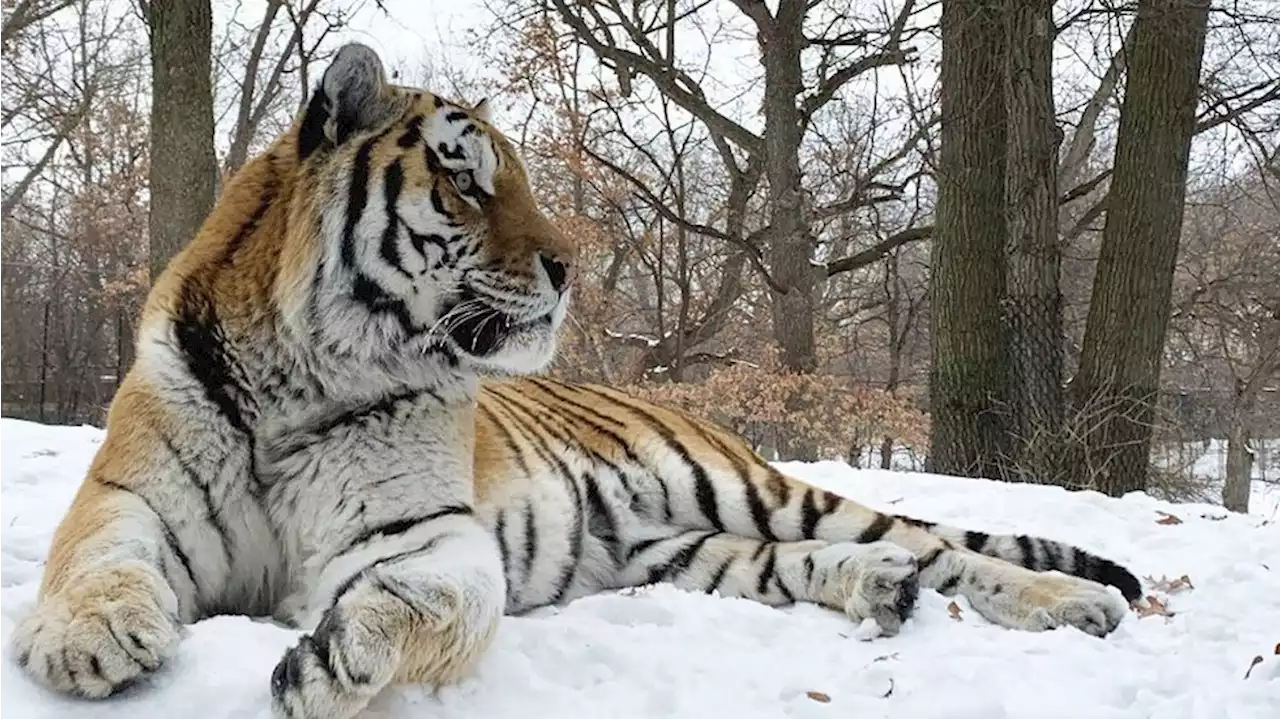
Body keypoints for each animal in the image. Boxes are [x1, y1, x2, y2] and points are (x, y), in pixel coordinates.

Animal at [5, 43, 1136, 716]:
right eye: (465, 180)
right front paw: (90, 639)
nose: (567, 266)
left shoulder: (425, 534)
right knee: (819, 561)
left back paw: (1074, 602)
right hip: (676, 549)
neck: (302, 373)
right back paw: (879, 588)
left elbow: (420, 601)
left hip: (745, 487)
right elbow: (94, 560)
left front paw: (331, 661)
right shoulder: (129, 493)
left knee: (943, 546)